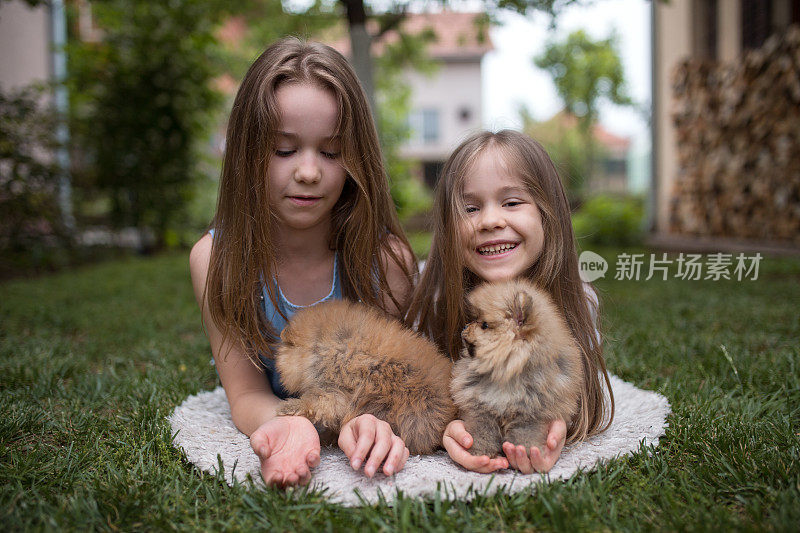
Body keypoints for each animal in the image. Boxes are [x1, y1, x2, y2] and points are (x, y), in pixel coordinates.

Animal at [450, 278, 580, 458]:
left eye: (484, 325)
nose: (464, 327)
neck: (506, 374)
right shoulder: (481, 408)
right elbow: (482, 432)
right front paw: (479, 453)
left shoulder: (530, 413)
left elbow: (525, 435)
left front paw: (526, 453)